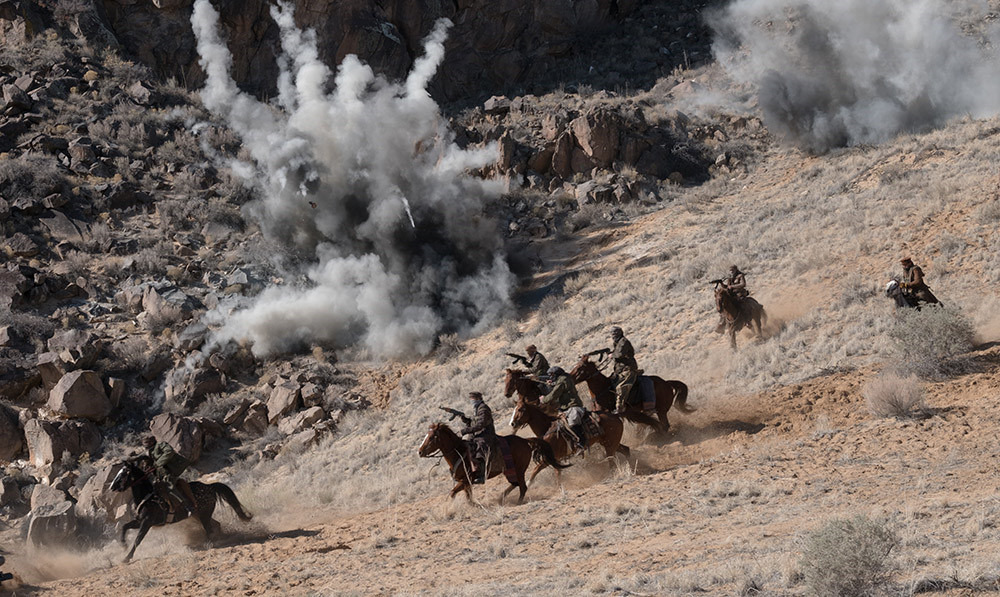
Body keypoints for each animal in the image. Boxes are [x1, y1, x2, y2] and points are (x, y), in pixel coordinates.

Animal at [110, 456, 253, 562]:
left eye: (123, 474)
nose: (112, 487)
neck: (148, 496)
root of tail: (210, 487)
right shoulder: (140, 521)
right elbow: (125, 527)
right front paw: (123, 545)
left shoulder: (147, 522)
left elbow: (137, 540)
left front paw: (126, 558)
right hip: (199, 515)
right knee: (215, 525)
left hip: (204, 515)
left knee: (209, 529)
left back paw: (210, 543)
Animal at [417, 422, 568, 505]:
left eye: (432, 437)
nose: (420, 451)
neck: (459, 452)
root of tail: (525, 441)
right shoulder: (465, 482)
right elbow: (465, 497)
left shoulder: (466, 480)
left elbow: (453, 493)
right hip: (509, 471)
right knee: (516, 484)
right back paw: (501, 498)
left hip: (518, 470)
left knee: (523, 487)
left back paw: (517, 502)